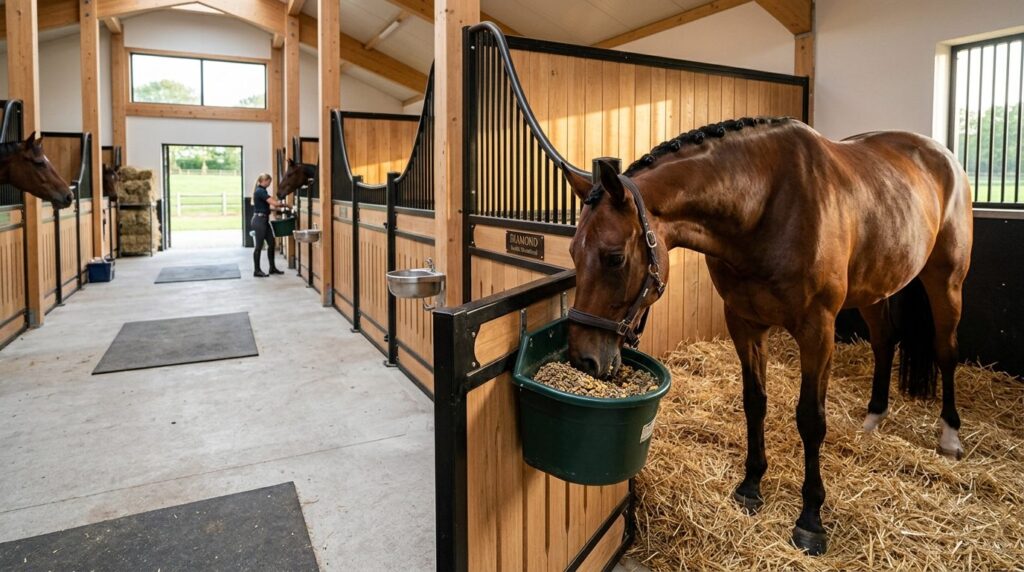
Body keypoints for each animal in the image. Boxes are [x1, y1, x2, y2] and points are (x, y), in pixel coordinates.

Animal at [561, 117, 972, 556]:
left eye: (614, 257)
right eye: (572, 253)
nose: (583, 359)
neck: (766, 206)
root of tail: (943, 156)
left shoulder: (817, 331)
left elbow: (811, 419)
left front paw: (810, 519)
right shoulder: (744, 323)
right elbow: (754, 402)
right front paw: (751, 486)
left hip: (946, 282)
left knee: (947, 352)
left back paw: (950, 435)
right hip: (876, 289)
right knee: (884, 342)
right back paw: (873, 418)